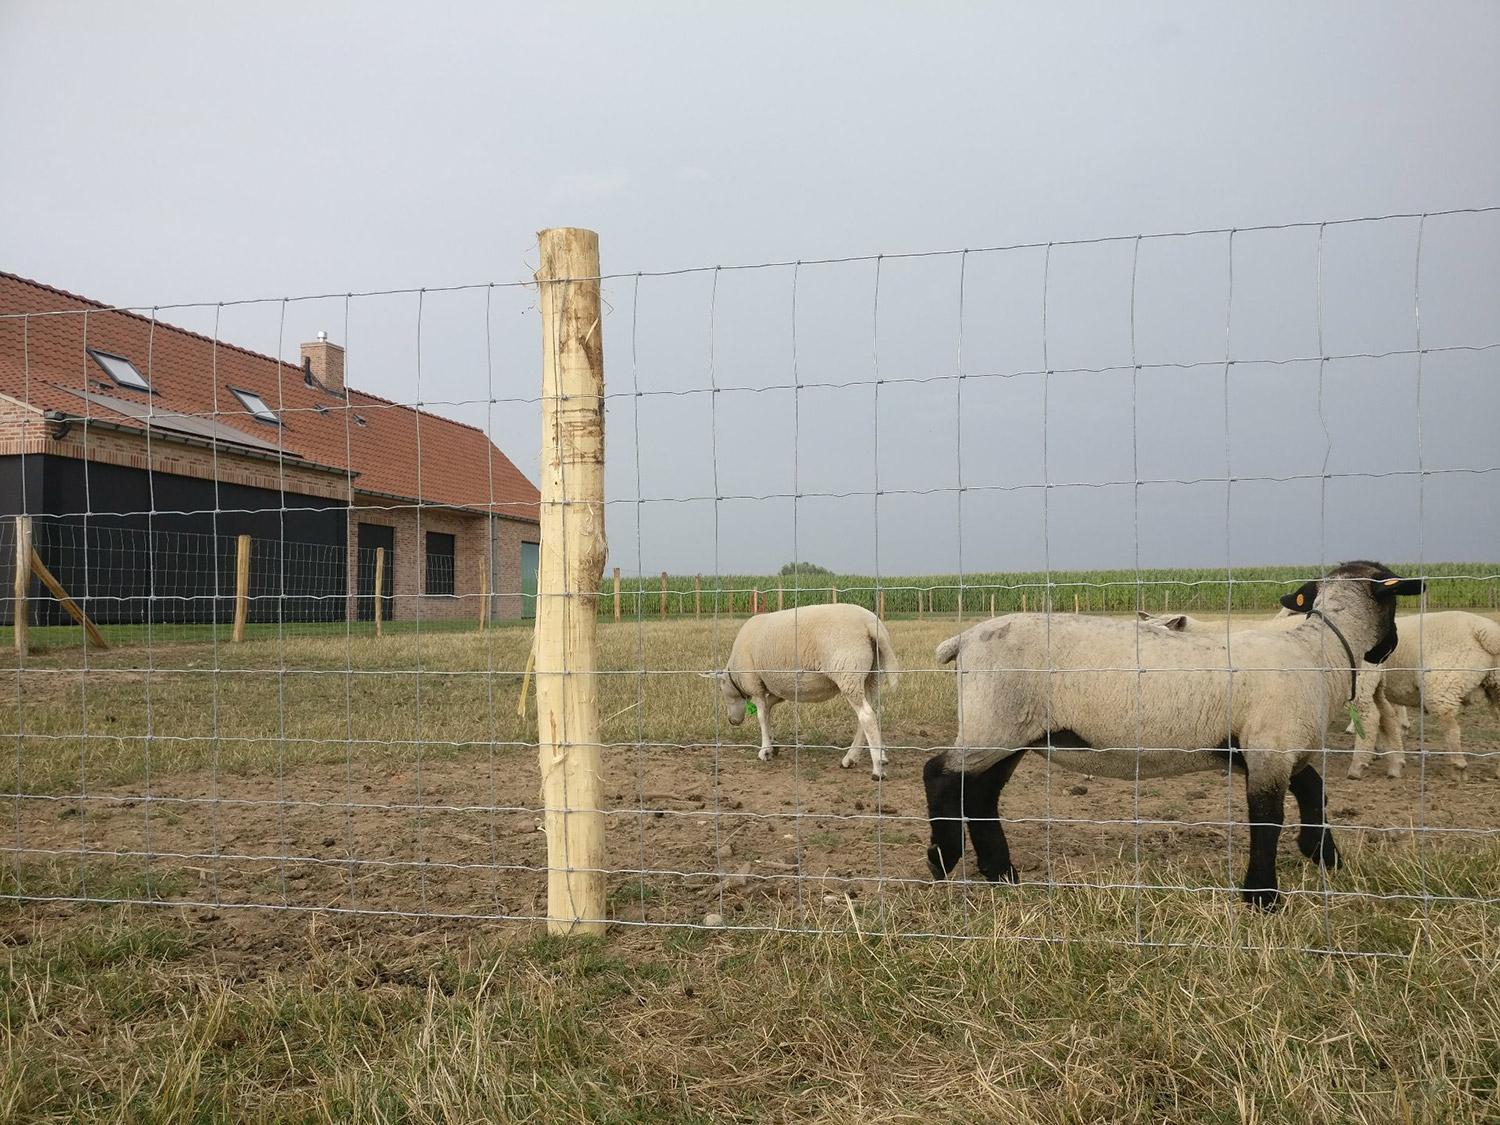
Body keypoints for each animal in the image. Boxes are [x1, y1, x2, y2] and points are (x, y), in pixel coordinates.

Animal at [705, 603, 900, 780]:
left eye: (721, 689)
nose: (732, 721)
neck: (735, 674)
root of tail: (870, 623)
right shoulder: (777, 690)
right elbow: (767, 710)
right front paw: (773, 744)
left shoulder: (754, 683)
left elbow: (761, 715)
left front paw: (765, 750)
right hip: (871, 675)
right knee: (870, 713)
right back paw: (853, 758)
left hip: (848, 671)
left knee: (866, 716)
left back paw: (877, 768)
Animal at [918, 561, 1422, 912]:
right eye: (1395, 600)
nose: (1389, 648)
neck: (1321, 651)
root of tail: (964, 640)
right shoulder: (1270, 746)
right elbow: (1267, 819)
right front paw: (1262, 896)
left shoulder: (1274, 745)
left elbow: (1314, 790)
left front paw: (1323, 855)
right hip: (994, 721)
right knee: (940, 773)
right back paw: (943, 859)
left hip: (1012, 730)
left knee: (978, 794)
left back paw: (1001, 874)